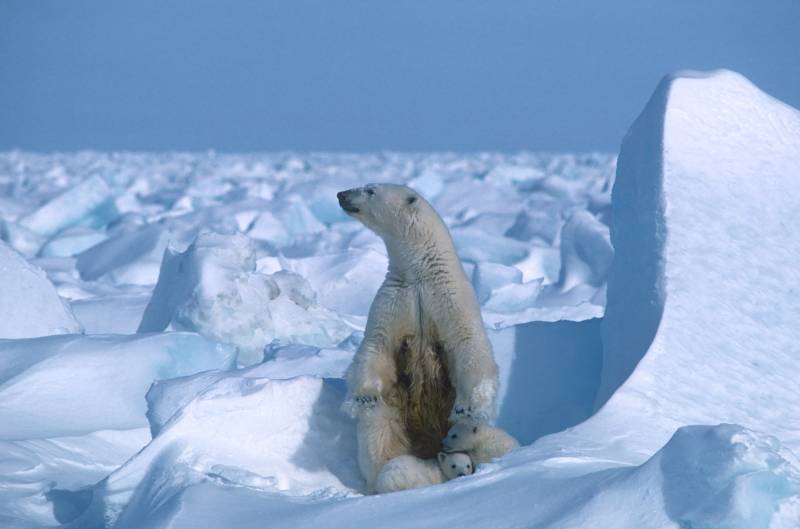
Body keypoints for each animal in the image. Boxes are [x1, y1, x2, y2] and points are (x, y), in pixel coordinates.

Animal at [338, 184, 500, 488]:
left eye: (370, 189)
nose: (341, 194)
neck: (420, 273)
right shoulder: (394, 300)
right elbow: (377, 345)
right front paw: (364, 396)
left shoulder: (450, 299)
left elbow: (469, 344)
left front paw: (467, 406)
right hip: (395, 411)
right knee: (378, 432)